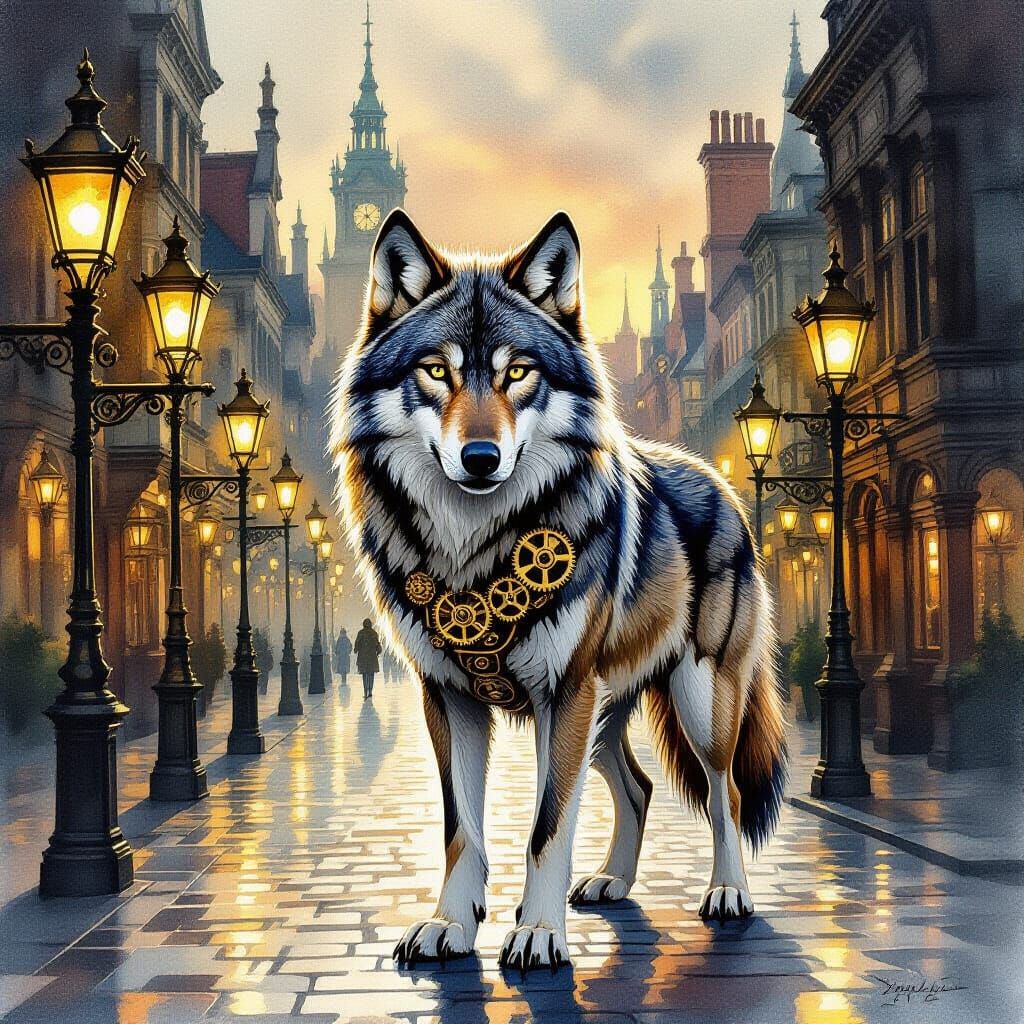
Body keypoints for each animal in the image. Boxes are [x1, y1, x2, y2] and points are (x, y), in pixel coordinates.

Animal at [330, 209, 787, 971]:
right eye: (436, 371)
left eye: (519, 371)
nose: (480, 458)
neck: (473, 552)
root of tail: (719, 481)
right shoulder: (449, 699)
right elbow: (462, 828)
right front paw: (451, 925)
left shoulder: (562, 695)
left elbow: (548, 827)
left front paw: (539, 933)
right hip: (602, 717)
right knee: (639, 787)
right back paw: (611, 883)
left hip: (694, 701)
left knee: (722, 794)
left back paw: (728, 894)